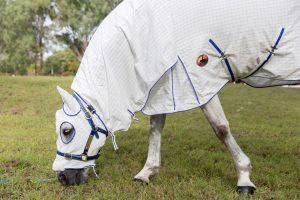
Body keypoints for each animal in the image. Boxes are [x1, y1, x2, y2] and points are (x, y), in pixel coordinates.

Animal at [52, 0, 300, 195]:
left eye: (67, 130)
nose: (63, 178)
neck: (149, 27)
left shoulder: (196, 80)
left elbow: (220, 128)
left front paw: (244, 179)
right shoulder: (164, 85)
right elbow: (155, 129)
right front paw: (146, 173)